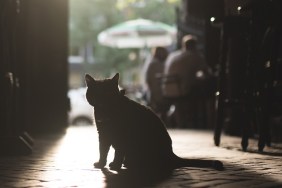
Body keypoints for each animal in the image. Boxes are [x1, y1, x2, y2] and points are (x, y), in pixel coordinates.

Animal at [85, 73, 224, 172]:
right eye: (97, 92)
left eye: (108, 92)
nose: (102, 99)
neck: (105, 111)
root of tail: (172, 154)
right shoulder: (103, 134)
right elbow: (102, 150)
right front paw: (101, 163)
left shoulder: (121, 136)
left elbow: (118, 152)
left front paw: (115, 165)